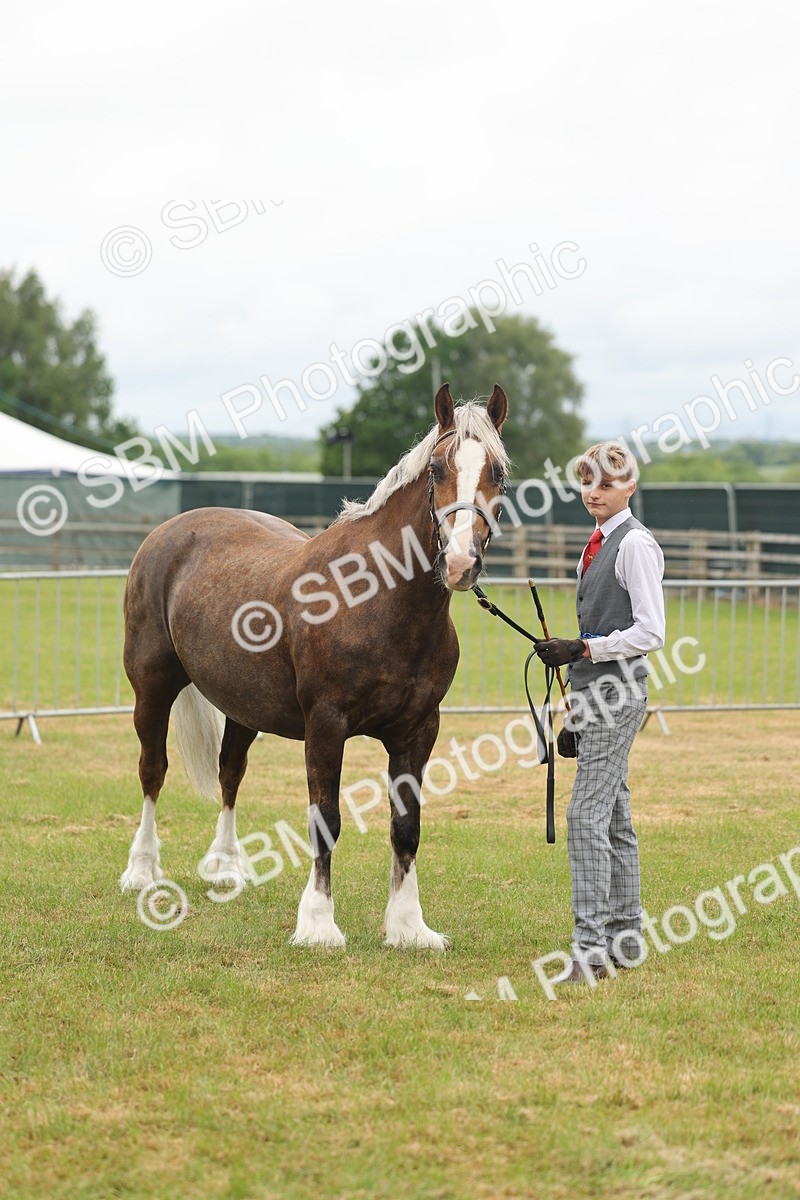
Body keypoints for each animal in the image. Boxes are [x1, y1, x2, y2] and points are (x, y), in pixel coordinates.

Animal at [119, 382, 509, 948]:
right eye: (437, 469)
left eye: (497, 472)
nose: (461, 562)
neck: (376, 600)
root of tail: (169, 531)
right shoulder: (325, 725)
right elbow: (325, 819)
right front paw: (319, 925)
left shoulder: (419, 731)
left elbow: (406, 825)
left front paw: (409, 927)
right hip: (151, 688)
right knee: (153, 770)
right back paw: (142, 870)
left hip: (243, 706)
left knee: (230, 773)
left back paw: (226, 866)